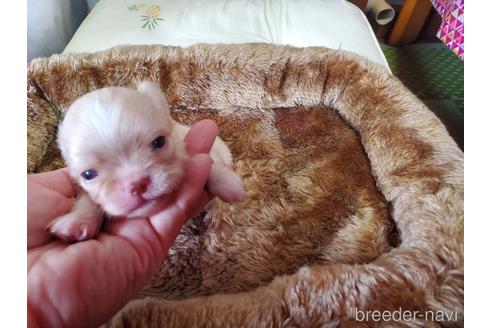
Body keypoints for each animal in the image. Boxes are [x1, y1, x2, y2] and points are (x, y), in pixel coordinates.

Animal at [48, 81, 244, 242]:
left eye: (159, 142)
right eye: (88, 174)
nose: (137, 183)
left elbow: (209, 163)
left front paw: (229, 184)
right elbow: (88, 199)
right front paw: (76, 221)